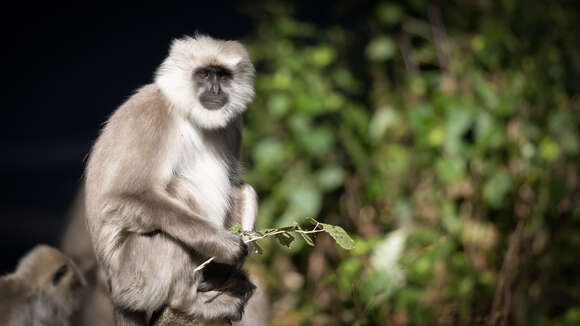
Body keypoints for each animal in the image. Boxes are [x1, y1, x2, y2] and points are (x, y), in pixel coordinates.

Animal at [85, 34, 260, 324]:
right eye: (203, 74)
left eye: (223, 76)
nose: (215, 90)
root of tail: (114, 292)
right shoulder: (151, 115)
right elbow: (122, 197)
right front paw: (223, 244)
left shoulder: (233, 125)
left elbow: (237, 184)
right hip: (133, 279)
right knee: (176, 200)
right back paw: (188, 301)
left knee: (244, 191)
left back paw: (218, 279)